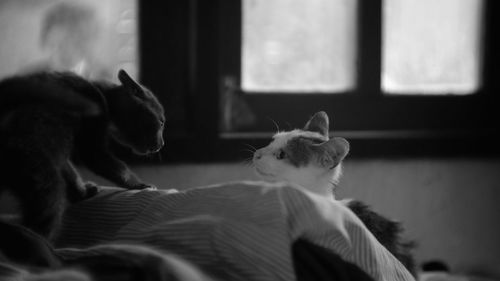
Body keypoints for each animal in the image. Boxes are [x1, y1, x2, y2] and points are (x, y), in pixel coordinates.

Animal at [0, 70, 165, 238]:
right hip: (39, 171)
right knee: (45, 215)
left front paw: (82, 193)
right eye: (161, 123)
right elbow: (115, 166)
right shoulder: (93, 140)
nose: (162, 145)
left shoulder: (61, 154)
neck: (103, 96)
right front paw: (140, 185)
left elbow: (70, 172)